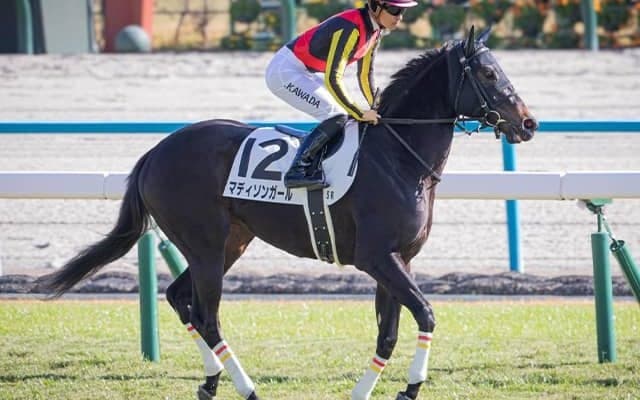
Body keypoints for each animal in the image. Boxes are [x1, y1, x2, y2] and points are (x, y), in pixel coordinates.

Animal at [41, 27, 537, 400]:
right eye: (489, 72)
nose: (528, 123)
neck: (398, 157)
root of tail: (155, 152)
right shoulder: (376, 258)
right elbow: (427, 315)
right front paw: (410, 388)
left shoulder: (400, 260)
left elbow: (389, 332)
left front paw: (366, 391)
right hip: (205, 247)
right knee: (206, 315)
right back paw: (247, 388)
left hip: (228, 243)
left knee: (182, 300)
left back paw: (211, 382)